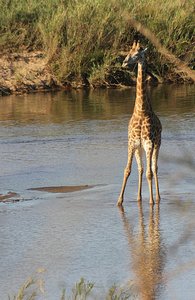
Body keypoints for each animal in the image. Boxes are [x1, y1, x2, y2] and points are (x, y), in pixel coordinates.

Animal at [117, 41, 161, 206]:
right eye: (129, 51)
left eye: (137, 54)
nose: (124, 62)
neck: (141, 112)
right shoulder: (132, 143)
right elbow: (128, 170)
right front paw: (119, 201)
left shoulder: (149, 144)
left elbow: (149, 172)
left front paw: (152, 202)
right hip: (139, 148)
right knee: (141, 169)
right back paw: (139, 197)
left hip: (156, 144)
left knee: (154, 168)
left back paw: (157, 197)